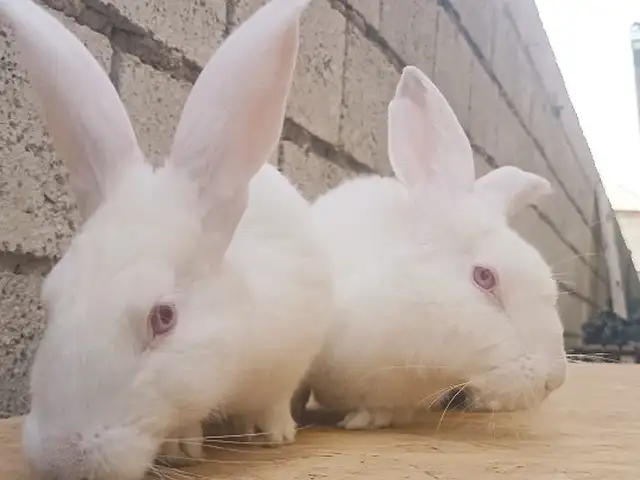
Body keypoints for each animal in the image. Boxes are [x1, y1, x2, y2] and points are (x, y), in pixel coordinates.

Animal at [1, 0, 332, 478]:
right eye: (50, 302)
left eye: (164, 317)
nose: (62, 458)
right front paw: (180, 446)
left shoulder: (291, 354)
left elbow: (274, 400)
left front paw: (275, 433)